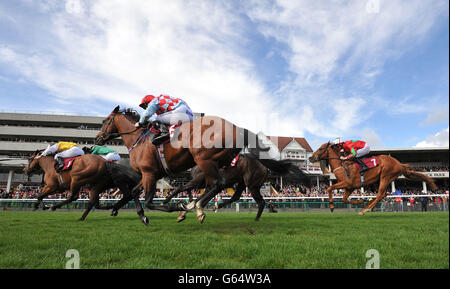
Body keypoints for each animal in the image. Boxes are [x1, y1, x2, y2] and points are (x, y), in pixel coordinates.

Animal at [94, 107, 276, 222]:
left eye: (105, 121)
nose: (97, 138)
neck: (138, 141)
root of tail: (236, 128)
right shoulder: (150, 174)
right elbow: (133, 192)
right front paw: (139, 214)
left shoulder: (149, 173)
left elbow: (150, 201)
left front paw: (176, 207)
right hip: (224, 169)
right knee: (222, 189)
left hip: (205, 160)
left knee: (219, 184)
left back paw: (199, 207)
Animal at [308, 142, 438, 214]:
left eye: (321, 148)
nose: (310, 157)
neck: (342, 167)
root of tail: (398, 163)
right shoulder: (350, 187)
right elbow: (344, 199)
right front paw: (360, 201)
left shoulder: (346, 183)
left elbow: (329, 188)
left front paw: (331, 206)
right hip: (381, 179)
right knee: (384, 194)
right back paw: (367, 206)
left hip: (386, 176)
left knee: (380, 194)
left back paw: (364, 210)